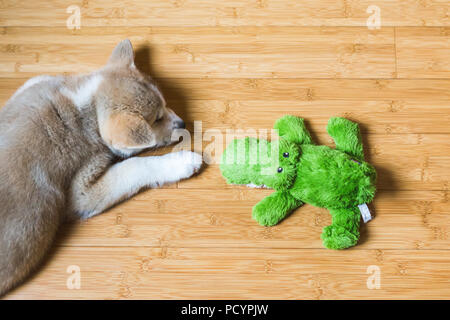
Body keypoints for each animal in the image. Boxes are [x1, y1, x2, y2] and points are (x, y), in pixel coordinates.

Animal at [0, 38, 203, 296]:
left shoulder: (33, 89)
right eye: (156, 119)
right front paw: (184, 161)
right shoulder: (81, 194)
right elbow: (135, 166)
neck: (84, 109)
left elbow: (36, 79)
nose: (183, 123)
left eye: (165, 105)